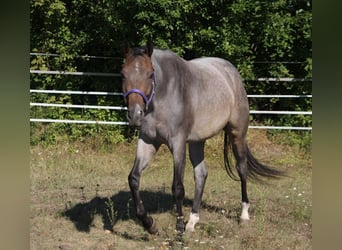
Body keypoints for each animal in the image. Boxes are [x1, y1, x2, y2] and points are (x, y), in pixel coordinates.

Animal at [120, 41, 284, 234]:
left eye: (150, 74)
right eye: (123, 74)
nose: (135, 114)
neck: (165, 94)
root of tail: (231, 72)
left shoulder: (178, 143)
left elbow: (177, 187)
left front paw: (179, 226)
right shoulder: (148, 140)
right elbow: (134, 179)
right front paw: (149, 224)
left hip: (237, 134)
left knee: (241, 168)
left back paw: (243, 214)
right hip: (197, 142)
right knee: (201, 174)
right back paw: (193, 220)